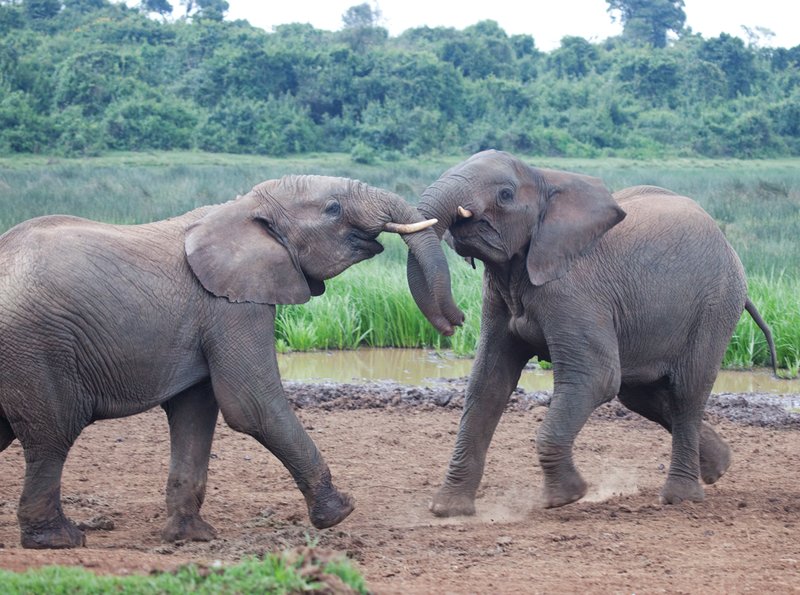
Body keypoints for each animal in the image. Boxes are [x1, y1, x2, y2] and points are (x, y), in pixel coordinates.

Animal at [0, 174, 463, 549]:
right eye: (333, 208)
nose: (455, 323)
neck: (243, 207)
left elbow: (195, 412)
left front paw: (191, 537)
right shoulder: (231, 306)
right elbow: (251, 405)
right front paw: (340, 512)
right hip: (37, 348)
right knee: (53, 434)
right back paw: (60, 540)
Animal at [407, 150, 777, 516]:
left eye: (505, 194)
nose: (455, 321)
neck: (545, 177)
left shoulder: (574, 292)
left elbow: (595, 377)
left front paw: (565, 498)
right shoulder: (498, 296)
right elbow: (488, 384)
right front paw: (447, 510)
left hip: (714, 306)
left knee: (686, 392)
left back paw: (680, 498)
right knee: (642, 395)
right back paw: (720, 467)